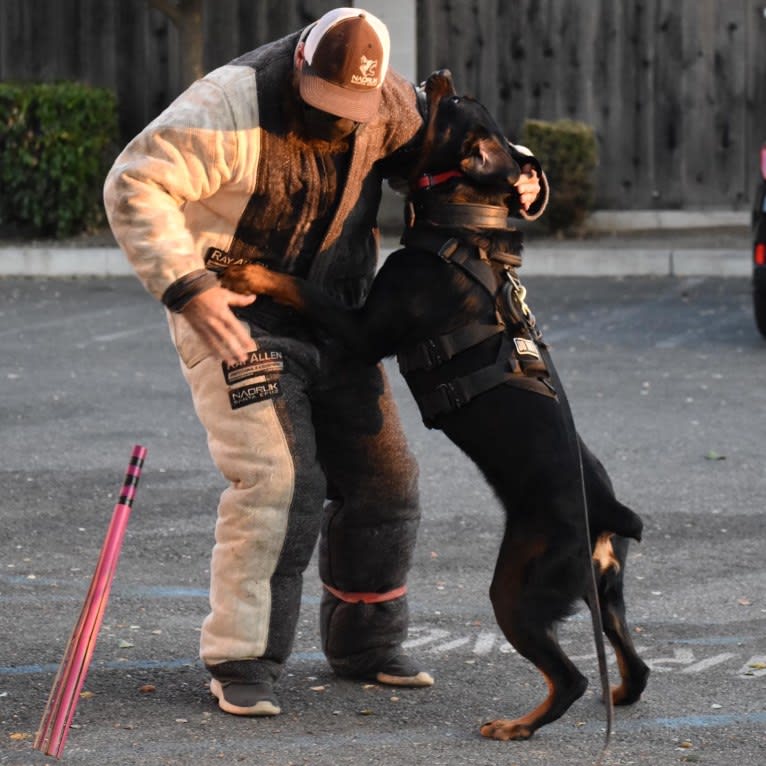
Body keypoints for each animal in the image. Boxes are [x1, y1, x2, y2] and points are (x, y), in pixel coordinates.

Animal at [219, 72, 652, 744]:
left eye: (451, 108)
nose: (439, 77)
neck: (464, 226)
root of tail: (608, 513)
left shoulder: (364, 328)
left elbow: (303, 288)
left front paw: (249, 273)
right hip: (606, 594)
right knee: (635, 666)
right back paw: (614, 694)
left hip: (519, 589)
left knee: (570, 678)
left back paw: (516, 725)